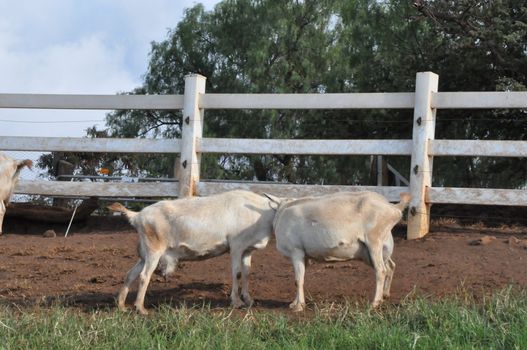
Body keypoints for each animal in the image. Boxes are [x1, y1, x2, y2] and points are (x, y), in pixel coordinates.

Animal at [105, 190, 274, 316]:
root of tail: (137, 216)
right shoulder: (236, 246)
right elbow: (237, 273)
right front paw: (237, 302)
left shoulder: (247, 249)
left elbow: (246, 273)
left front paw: (249, 300)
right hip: (154, 250)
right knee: (144, 276)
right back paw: (140, 308)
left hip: (144, 254)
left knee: (130, 274)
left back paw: (122, 306)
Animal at [272, 191, 412, 312]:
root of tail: (393, 208)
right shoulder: (304, 256)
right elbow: (300, 278)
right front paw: (294, 303)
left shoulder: (296, 251)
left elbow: (298, 280)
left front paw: (299, 306)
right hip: (381, 248)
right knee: (390, 266)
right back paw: (385, 295)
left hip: (374, 241)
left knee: (381, 270)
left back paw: (374, 303)